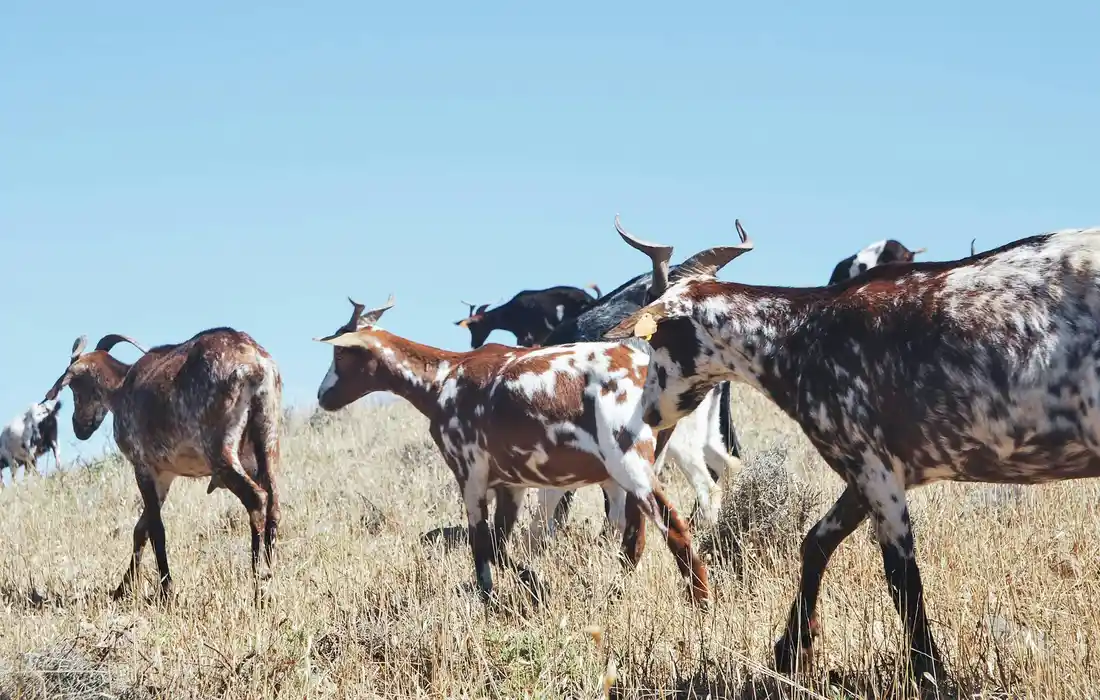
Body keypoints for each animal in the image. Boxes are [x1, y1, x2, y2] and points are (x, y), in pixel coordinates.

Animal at [43, 329, 282, 601]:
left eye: (75, 387)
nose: (79, 427)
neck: (122, 388)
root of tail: (255, 365)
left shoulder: (143, 466)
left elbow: (156, 529)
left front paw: (166, 589)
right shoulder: (165, 475)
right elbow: (141, 529)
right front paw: (122, 589)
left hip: (220, 449)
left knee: (257, 498)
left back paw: (258, 584)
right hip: (268, 437)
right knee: (274, 503)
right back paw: (270, 575)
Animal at [314, 295, 710, 607]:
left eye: (341, 352)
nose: (322, 396)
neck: (444, 378)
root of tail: (645, 368)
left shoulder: (470, 475)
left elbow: (480, 546)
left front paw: (492, 597)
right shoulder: (511, 484)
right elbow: (499, 546)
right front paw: (535, 584)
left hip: (630, 464)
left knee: (675, 529)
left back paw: (701, 604)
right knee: (635, 538)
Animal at [605, 219, 1100, 684]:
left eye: (656, 339)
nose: (649, 413)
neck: (800, 332)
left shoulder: (872, 467)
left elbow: (901, 577)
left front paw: (929, 671)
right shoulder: (869, 472)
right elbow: (816, 542)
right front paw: (792, 649)